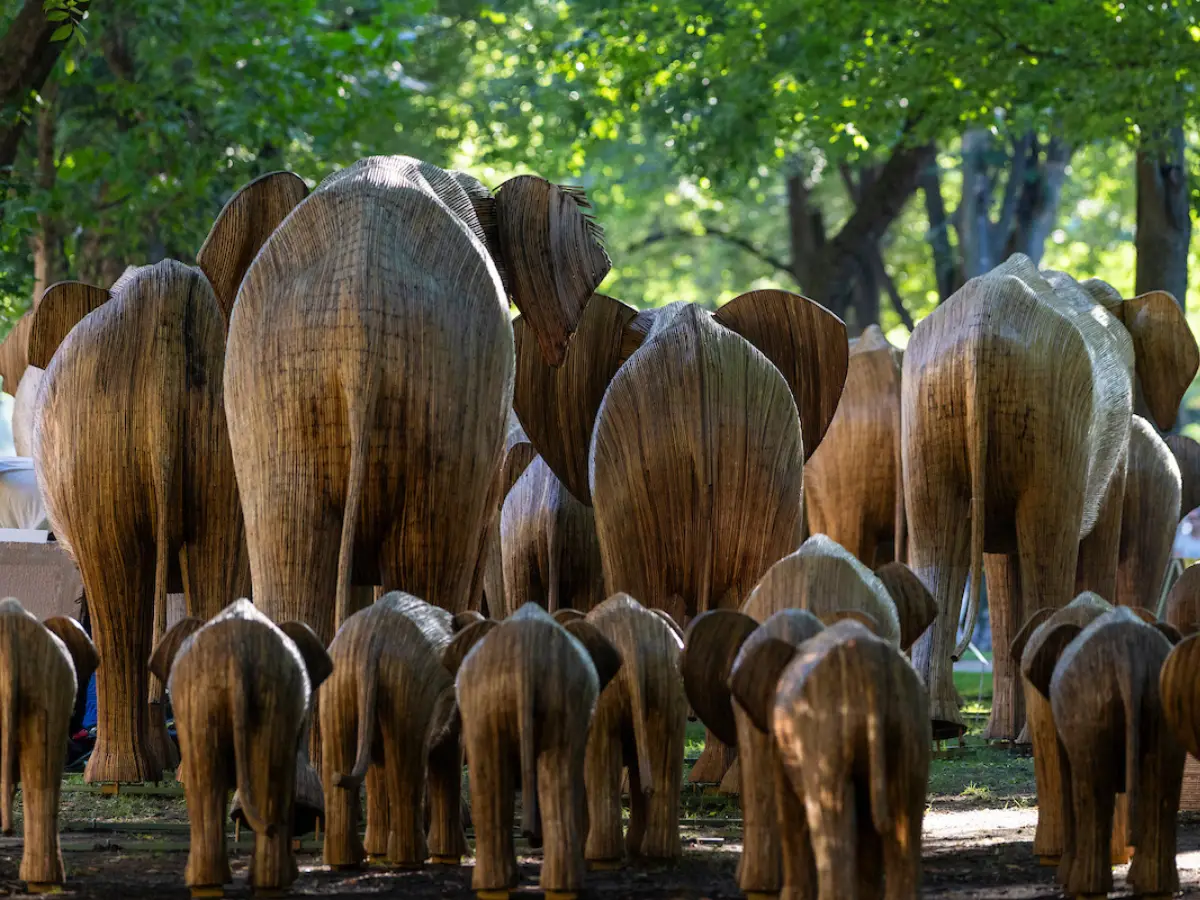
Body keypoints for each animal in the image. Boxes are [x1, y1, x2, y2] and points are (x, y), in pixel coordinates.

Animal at [319, 591, 491, 869]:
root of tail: (373, 636)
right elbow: (447, 755)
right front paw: (448, 858)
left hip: (340, 678)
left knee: (340, 753)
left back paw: (347, 863)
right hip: (408, 686)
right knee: (408, 760)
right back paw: (409, 862)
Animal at [564, 593, 686, 866]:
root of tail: (631, 631)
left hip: (607, 690)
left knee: (600, 755)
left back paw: (601, 859)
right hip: (667, 678)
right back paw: (660, 856)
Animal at [730, 618, 930, 900]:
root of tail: (871, 667)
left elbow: (788, 806)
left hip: (823, 730)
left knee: (830, 814)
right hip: (911, 724)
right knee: (905, 810)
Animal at [903, 254, 1199, 740]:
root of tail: (983, 325)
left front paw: (998, 737)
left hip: (929, 402)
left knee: (936, 545)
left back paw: (943, 725)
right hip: (1053, 414)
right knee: (1047, 544)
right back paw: (1026, 738)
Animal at [1023, 606, 1183, 896]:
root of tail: (1128, 653)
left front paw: (1062, 878)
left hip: (1087, 707)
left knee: (1091, 790)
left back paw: (1083, 890)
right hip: (1163, 701)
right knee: (1161, 785)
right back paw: (1155, 890)